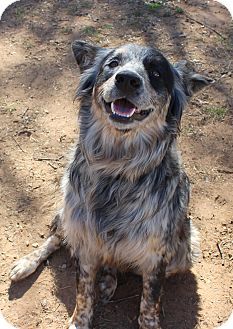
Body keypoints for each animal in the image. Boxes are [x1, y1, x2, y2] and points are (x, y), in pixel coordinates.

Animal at [9, 41, 213, 328]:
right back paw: (28, 264)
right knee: (56, 238)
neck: (116, 168)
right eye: (113, 64)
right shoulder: (84, 241)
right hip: (68, 214)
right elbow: (83, 294)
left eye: (156, 73)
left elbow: (149, 303)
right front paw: (79, 321)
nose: (127, 79)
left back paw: (108, 279)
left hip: (186, 248)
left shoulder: (156, 256)